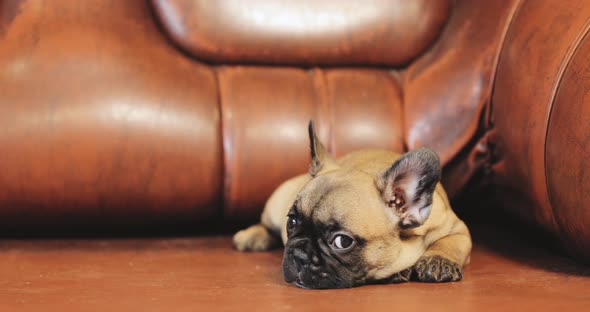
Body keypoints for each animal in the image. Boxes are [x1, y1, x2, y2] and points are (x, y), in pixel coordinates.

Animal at [235, 120, 472, 288]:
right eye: (292, 222)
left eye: (342, 242)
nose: (299, 256)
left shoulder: (458, 228)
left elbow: (451, 242)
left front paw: (438, 260)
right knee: (265, 224)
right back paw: (252, 236)